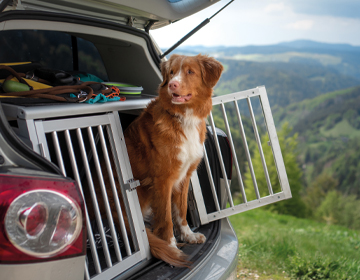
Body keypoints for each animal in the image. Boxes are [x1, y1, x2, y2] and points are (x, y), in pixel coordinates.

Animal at [125, 53, 224, 266]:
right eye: (171, 73)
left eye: (190, 72)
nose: (172, 85)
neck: (184, 117)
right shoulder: (163, 180)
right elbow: (166, 218)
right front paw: (171, 245)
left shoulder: (185, 175)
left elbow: (181, 209)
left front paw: (188, 235)